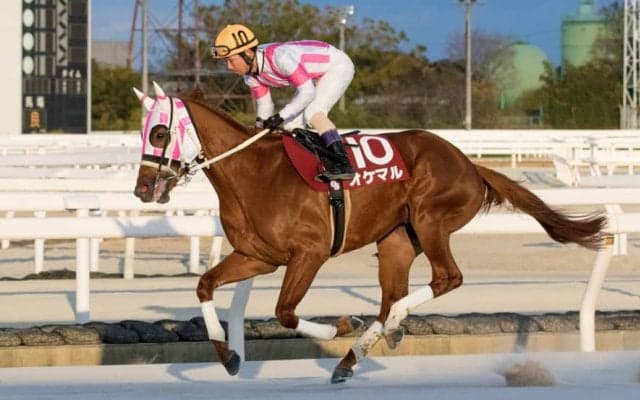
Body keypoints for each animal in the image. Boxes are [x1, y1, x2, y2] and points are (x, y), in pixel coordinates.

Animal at [132, 83, 606, 383]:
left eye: (159, 131)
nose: (142, 189)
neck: (253, 173)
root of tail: (471, 165)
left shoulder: (309, 253)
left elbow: (285, 311)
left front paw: (338, 326)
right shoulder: (258, 256)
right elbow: (204, 285)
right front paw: (229, 356)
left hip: (430, 220)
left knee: (444, 279)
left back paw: (385, 328)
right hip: (397, 240)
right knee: (393, 296)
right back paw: (358, 353)